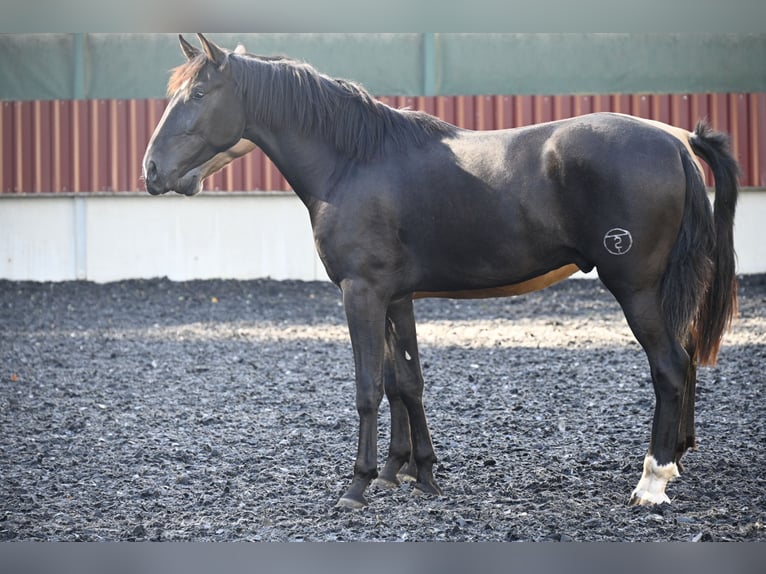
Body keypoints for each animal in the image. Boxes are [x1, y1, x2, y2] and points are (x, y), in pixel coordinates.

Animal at [143, 34, 739, 509]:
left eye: (199, 95)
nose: (151, 171)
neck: (355, 161)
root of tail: (674, 140)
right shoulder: (394, 297)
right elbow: (404, 382)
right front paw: (412, 472)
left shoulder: (361, 293)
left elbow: (368, 387)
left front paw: (359, 485)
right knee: (686, 361)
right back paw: (674, 461)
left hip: (636, 289)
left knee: (669, 366)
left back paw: (651, 482)